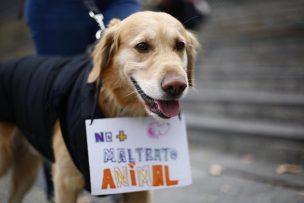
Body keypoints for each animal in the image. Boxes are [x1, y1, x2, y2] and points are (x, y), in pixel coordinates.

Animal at [0, 11, 197, 203]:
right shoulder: (65, 181)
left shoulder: (139, 187)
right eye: (142, 46)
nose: (176, 86)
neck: (118, 106)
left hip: (26, 172)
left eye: (180, 45)